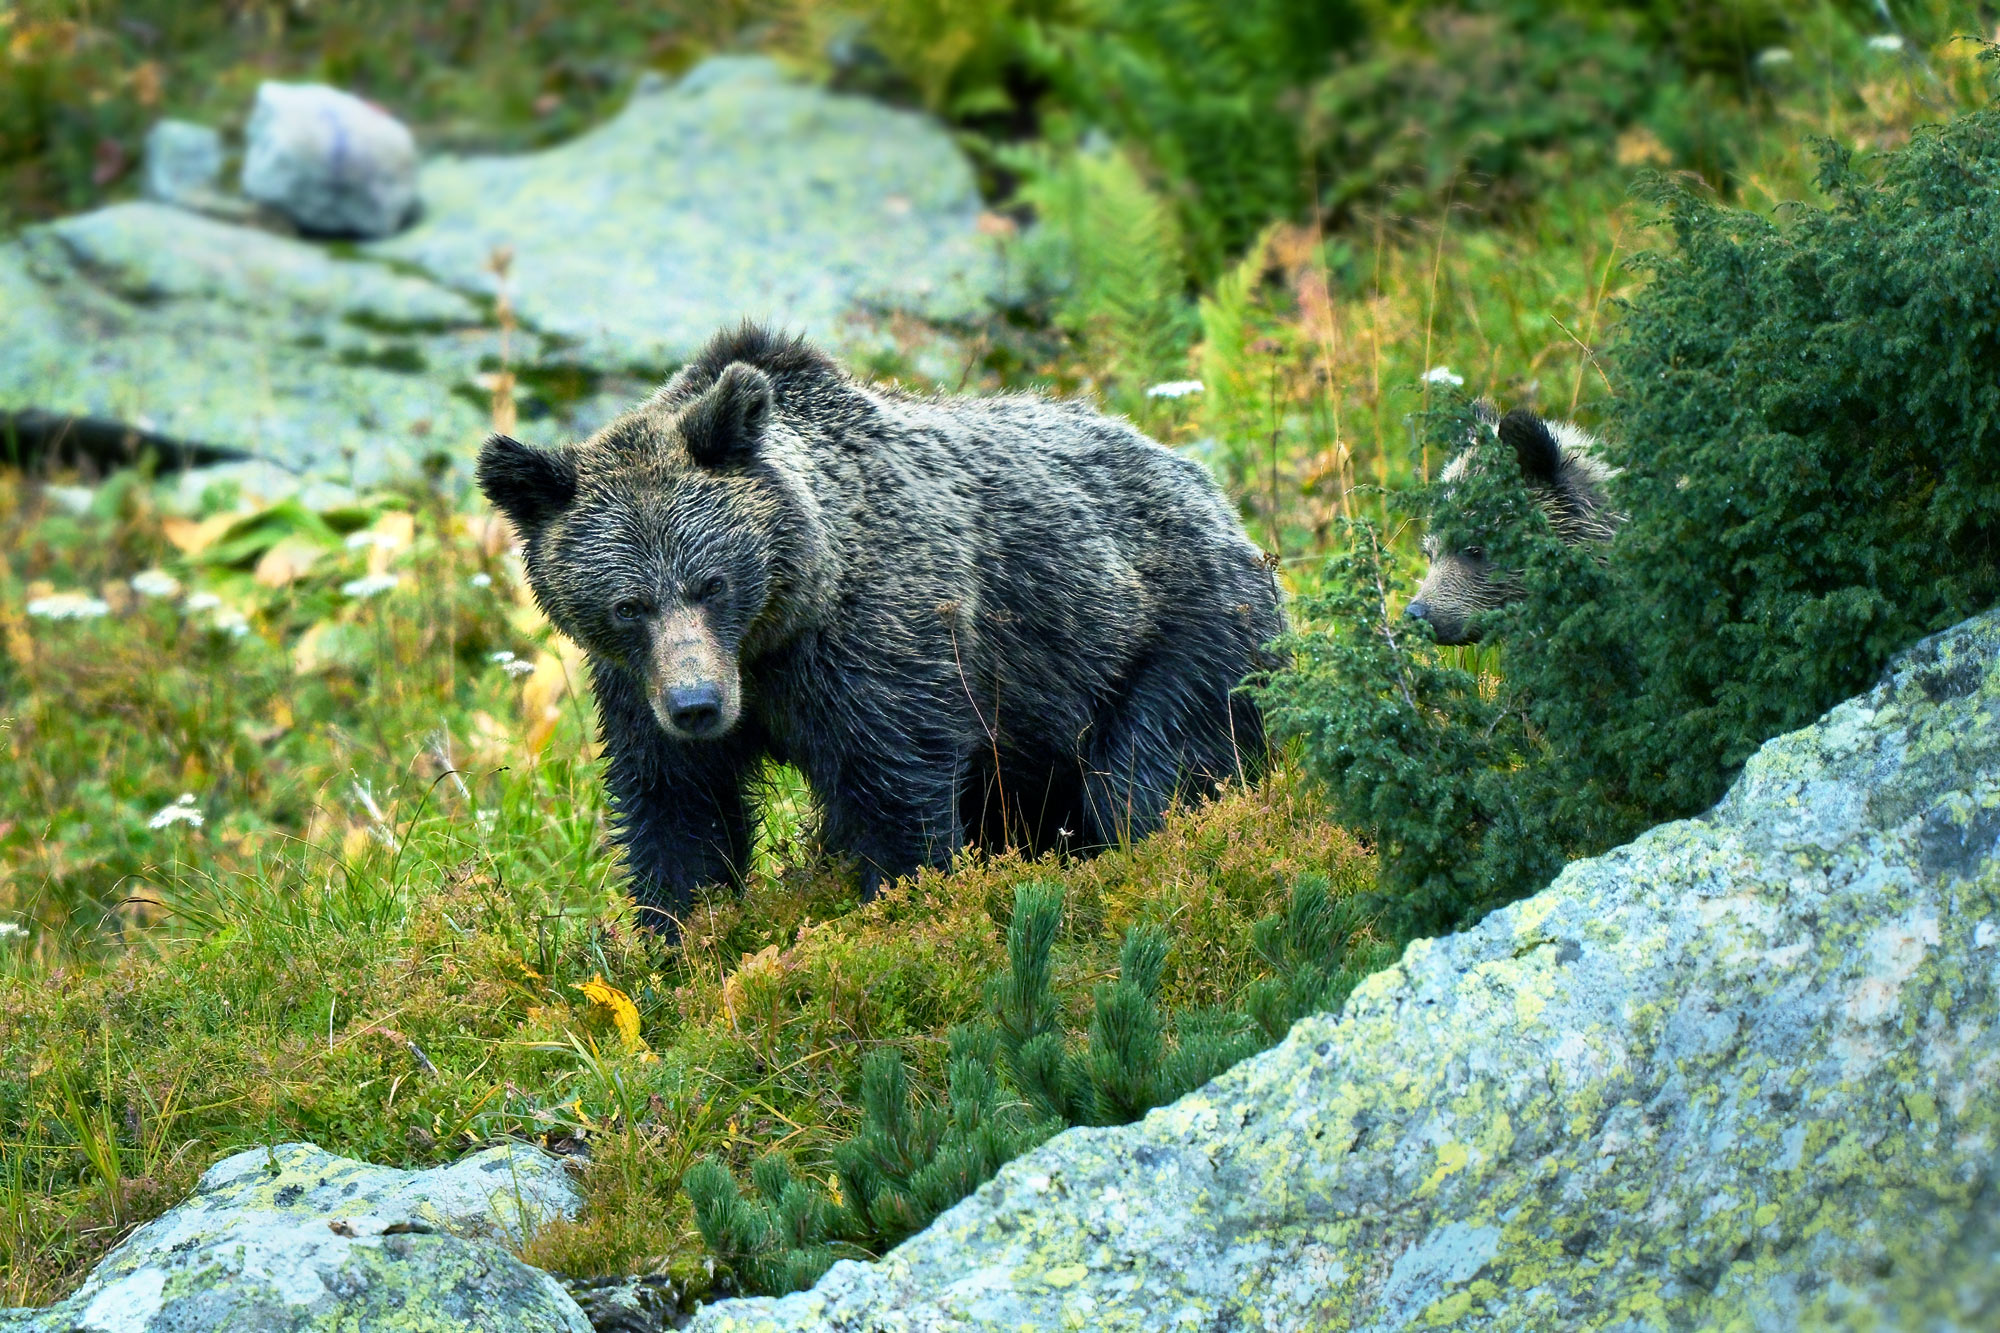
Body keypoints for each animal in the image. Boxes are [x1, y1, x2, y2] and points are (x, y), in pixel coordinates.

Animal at [480, 324, 1280, 924]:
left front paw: (898, 908)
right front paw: (678, 938)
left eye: (712, 582)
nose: (697, 704)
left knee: (1142, 775)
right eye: (628, 604)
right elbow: (678, 812)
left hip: (1176, 635)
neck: (773, 635)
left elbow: (897, 799)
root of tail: (1212, 490)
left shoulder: (882, 652)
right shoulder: (637, 689)